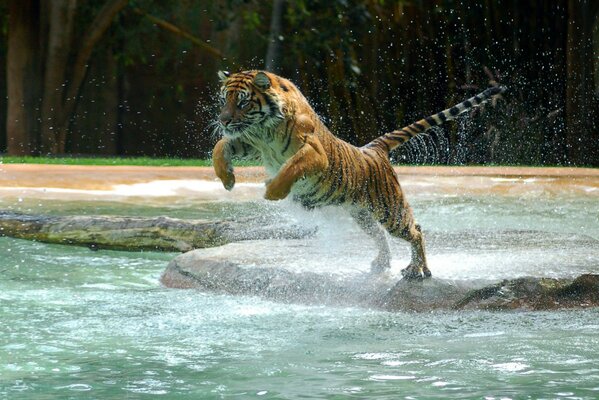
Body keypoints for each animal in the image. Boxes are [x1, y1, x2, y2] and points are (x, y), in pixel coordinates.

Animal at [213, 70, 504, 280]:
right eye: (224, 100)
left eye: (242, 101)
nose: (223, 120)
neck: (265, 130)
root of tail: (374, 148)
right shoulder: (250, 143)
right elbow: (220, 146)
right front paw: (227, 179)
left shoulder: (314, 152)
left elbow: (291, 167)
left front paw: (272, 191)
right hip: (362, 214)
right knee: (381, 236)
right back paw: (381, 265)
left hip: (390, 210)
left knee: (416, 230)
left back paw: (417, 270)